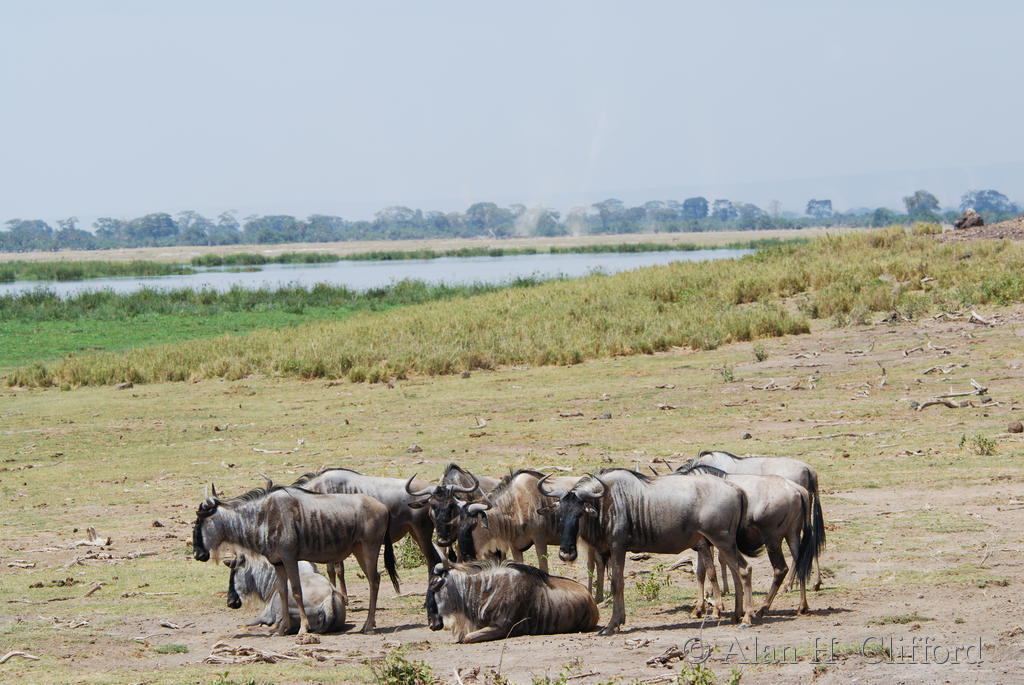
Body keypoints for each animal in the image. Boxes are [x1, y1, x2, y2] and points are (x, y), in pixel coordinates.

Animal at [192, 481, 400, 634]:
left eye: (200, 521)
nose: (197, 554)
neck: (263, 518)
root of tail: (384, 508)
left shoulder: (290, 558)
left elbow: (297, 590)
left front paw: (303, 628)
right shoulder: (277, 562)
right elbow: (283, 592)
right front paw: (282, 629)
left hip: (369, 549)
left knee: (374, 581)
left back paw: (368, 626)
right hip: (359, 551)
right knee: (375, 578)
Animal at [540, 468, 760, 634]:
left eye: (579, 514)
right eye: (559, 515)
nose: (566, 553)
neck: (607, 502)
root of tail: (736, 489)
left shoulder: (618, 547)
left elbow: (617, 583)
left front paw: (612, 625)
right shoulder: (611, 551)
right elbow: (617, 583)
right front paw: (620, 620)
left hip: (721, 541)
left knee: (744, 569)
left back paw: (747, 618)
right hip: (724, 543)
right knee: (735, 571)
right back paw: (736, 614)